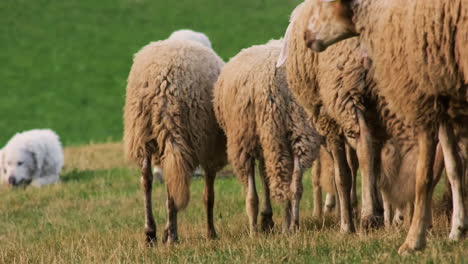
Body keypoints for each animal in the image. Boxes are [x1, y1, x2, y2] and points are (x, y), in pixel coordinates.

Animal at [123, 29, 228, 245]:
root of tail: (164, 82)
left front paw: (164, 232)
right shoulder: (209, 152)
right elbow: (209, 195)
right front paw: (211, 232)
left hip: (143, 132)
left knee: (146, 180)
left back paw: (151, 232)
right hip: (187, 134)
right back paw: (172, 236)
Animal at [213, 38, 320, 233]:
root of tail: (270, 83)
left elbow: (259, 183)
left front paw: (263, 221)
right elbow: (269, 177)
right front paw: (272, 219)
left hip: (244, 140)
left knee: (253, 192)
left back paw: (255, 228)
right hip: (299, 133)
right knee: (294, 185)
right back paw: (291, 225)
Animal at [304, 0, 468, 254]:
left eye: (325, 4)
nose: (305, 35)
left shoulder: (422, 102)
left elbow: (423, 176)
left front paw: (413, 241)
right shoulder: (440, 97)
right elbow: (454, 167)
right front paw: (456, 230)